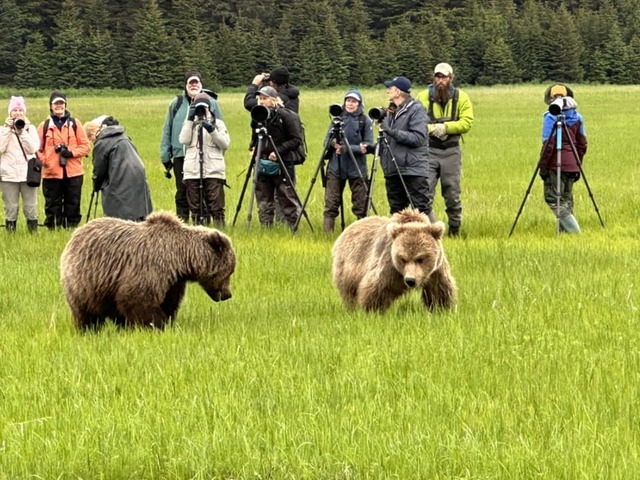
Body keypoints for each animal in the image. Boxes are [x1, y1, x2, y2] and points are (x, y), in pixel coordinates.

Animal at [60, 211, 236, 331]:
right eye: (228, 272)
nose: (227, 294)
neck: (181, 259)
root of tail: (75, 235)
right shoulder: (151, 267)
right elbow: (138, 298)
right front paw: (157, 324)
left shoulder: (174, 281)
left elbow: (170, 302)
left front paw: (167, 321)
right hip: (85, 279)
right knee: (85, 312)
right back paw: (88, 329)